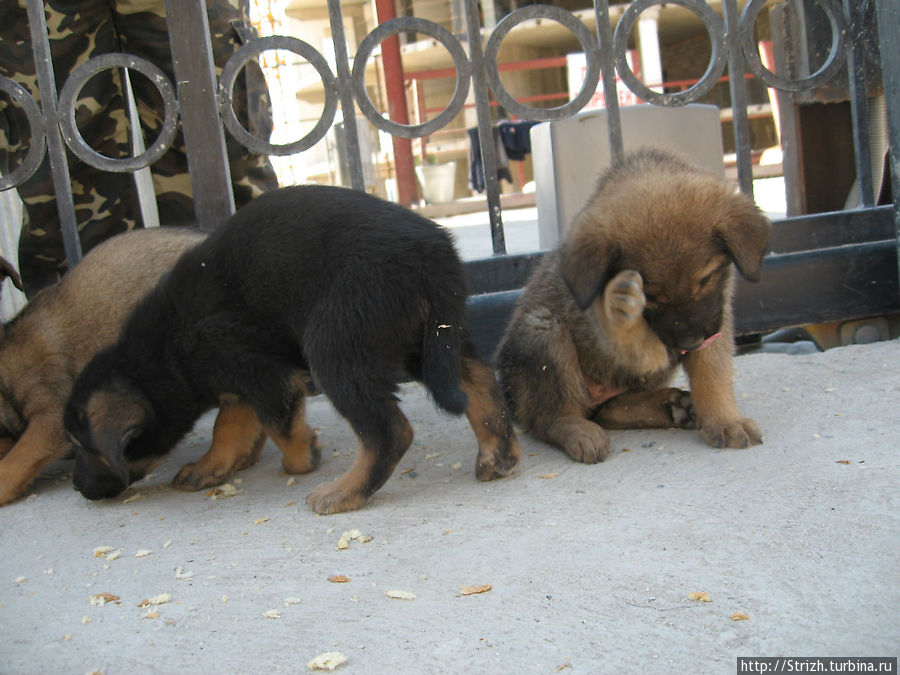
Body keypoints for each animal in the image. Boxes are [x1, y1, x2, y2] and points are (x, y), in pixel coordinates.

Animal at [65, 185, 520, 512]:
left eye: (81, 447)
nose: (79, 489)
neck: (159, 357)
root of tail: (434, 252)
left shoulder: (258, 369)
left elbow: (271, 423)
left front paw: (301, 459)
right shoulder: (240, 376)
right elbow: (232, 424)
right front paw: (216, 465)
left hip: (335, 345)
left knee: (388, 430)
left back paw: (344, 493)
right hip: (422, 337)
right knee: (477, 378)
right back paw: (498, 456)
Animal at [496, 148, 768, 464]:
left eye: (705, 280)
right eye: (651, 295)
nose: (690, 343)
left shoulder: (717, 319)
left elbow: (712, 376)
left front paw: (726, 421)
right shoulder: (602, 330)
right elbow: (637, 342)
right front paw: (625, 316)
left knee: (608, 410)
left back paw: (672, 406)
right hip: (543, 329)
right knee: (549, 417)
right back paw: (577, 429)